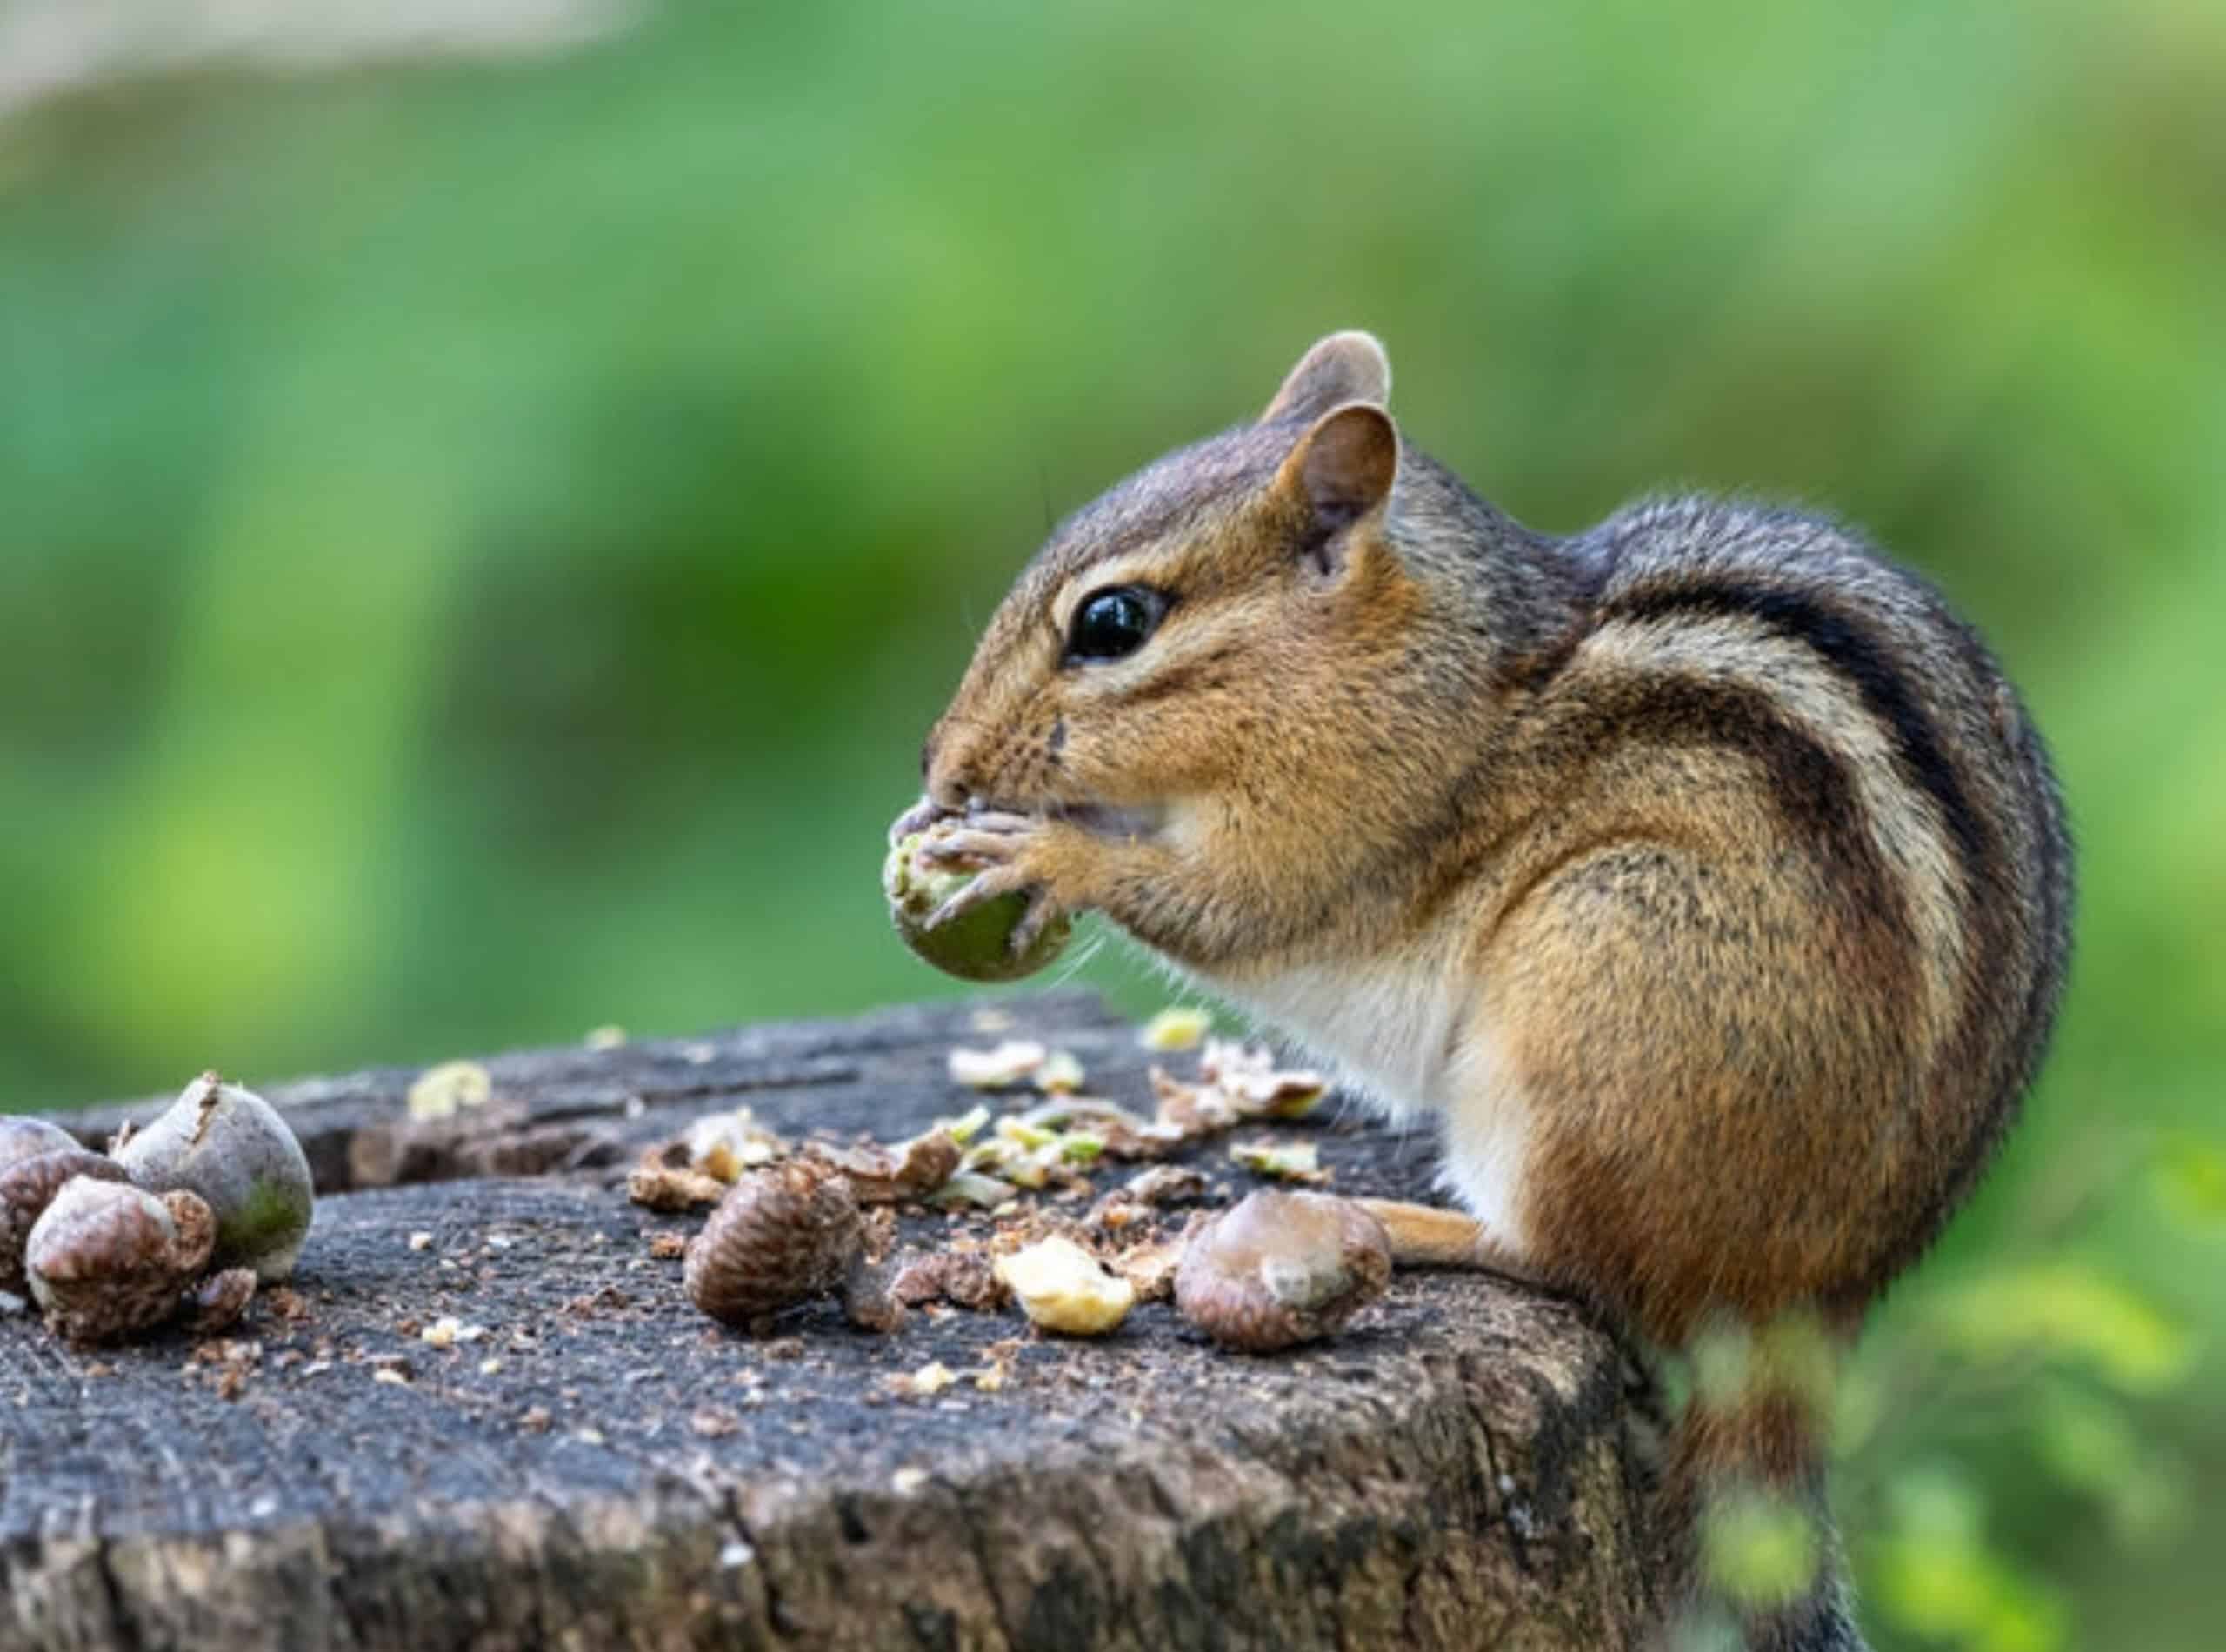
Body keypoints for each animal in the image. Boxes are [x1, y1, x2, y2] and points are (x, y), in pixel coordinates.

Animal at [895, 332, 2073, 1650]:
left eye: (1111, 622)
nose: (942, 765)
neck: (1418, 658)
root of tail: (1808, 1307)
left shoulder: (1338, 826)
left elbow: (1233, 907)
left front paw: (1044, 854)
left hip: (1592, 979)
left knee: (1565, 1259)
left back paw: (1406, 1223)